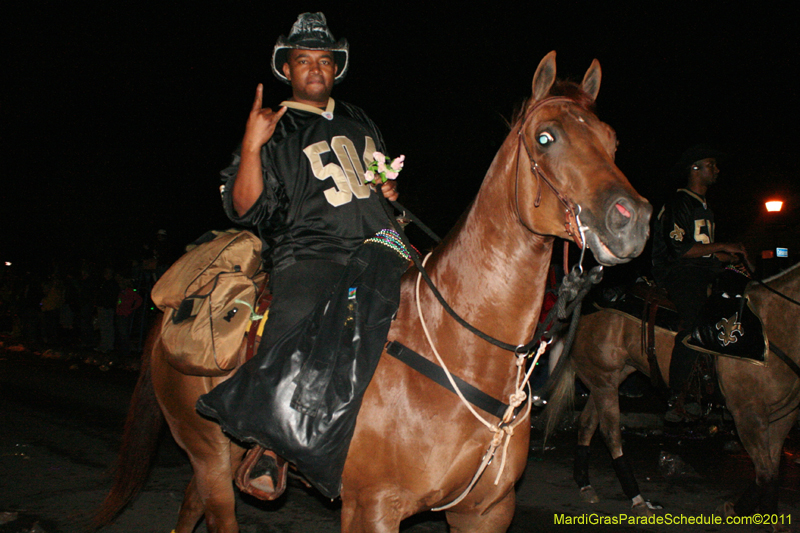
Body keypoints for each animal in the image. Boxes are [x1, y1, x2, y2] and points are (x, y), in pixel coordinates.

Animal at [97, 51, 652, 532]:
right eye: (545, 136)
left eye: (612, 141)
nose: (633, 219)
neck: (463, 348)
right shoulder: (372, 509)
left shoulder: (485, 512)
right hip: (210, 455)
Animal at [548, 262, 800, 520]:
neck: (772, 324)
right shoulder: (748, 415)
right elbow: (765, 473)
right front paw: (741, 510)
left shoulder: (783, 416)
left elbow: (771, 471)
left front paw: (757, 514)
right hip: (604, 381)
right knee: (610, 433)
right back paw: (637, 498)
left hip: (606, 380)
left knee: (587, 424)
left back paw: (585, 484)